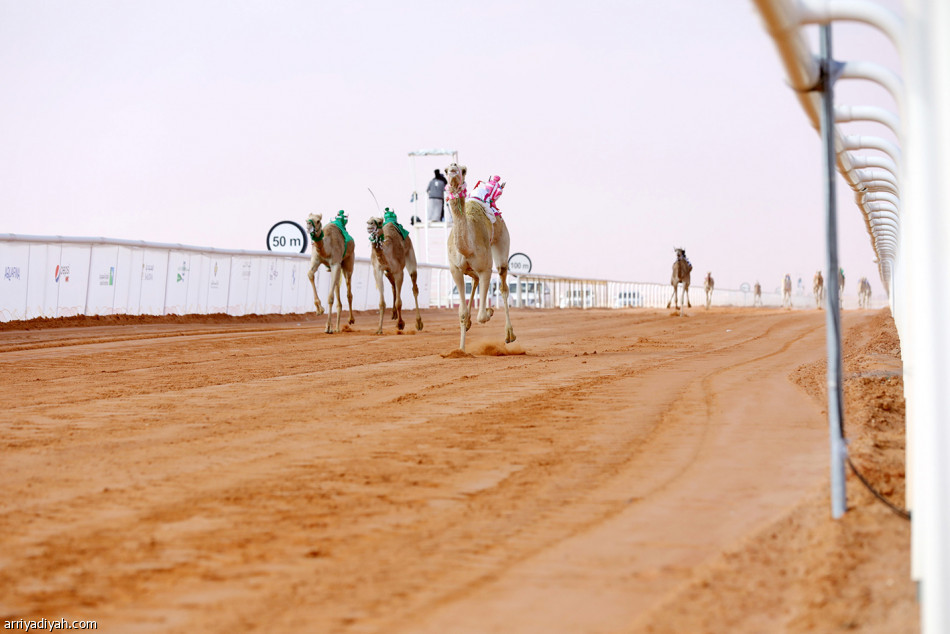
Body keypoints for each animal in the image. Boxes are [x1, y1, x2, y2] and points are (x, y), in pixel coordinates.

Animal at [444, 162, 512, 350]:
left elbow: (482, 316)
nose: (453, 168)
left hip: (502, 241)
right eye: (445, 170)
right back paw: (468, 324)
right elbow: (461, 312)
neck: (467, 248)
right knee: (474, 280)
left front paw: (489, 310)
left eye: (463, 170)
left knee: (503, 284)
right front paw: (461, 349)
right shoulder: (455, 270)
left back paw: (509, 335)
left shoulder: (485, 269)